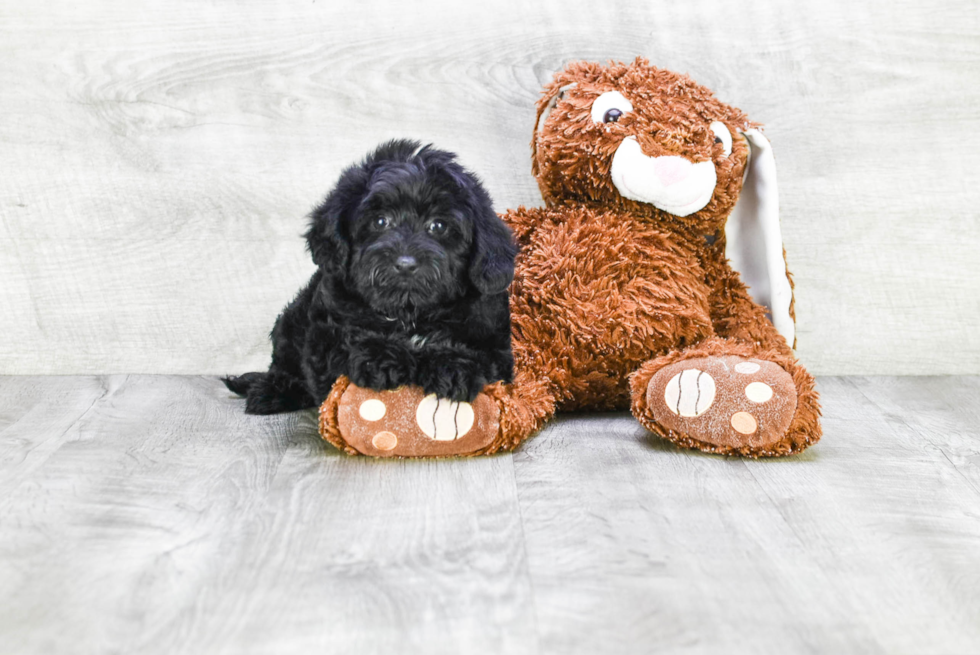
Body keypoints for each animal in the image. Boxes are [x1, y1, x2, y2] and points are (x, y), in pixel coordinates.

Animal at [221, 140, 512, 416]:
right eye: (380, 221)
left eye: (438, 225)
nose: (405, 264)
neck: (409, 314)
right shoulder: (324, 333)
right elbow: (344, 345)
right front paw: (381, 357)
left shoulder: (496, 342)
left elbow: (483, 356)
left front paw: (453, 366)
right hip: (291, 321)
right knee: (285, 366)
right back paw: (272, 392)